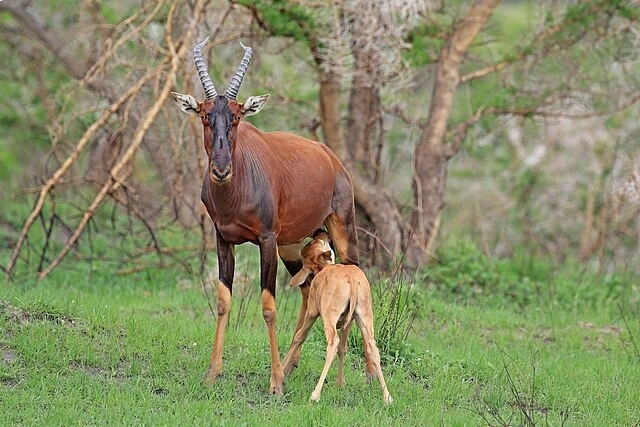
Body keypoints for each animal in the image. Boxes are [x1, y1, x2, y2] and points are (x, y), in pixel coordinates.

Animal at [171, 38, 358, 395]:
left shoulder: (266, 240)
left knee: (353, 276)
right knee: (307, 289)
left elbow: (269, 308)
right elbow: (223, 301)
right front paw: (213, 373)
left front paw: (275, 384)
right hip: (293, 245)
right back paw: (290, 364)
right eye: (204, 115)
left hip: (340, 230)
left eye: (237, 117)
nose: (221, 170)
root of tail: (331, 158)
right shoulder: (224, 239)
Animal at [282, 231, 392, 404]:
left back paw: (315, 394)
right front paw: (340, 383)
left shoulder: (312, 311)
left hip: (329, 317)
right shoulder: (349, 323)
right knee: (372, 347)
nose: (321, 232)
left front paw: (281, 369)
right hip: (364, 317)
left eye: (311, 243)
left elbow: (299, 336)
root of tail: (352, 281)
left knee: (333, 342)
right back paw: (387, 397)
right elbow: (343, 349)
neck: (324, 270)